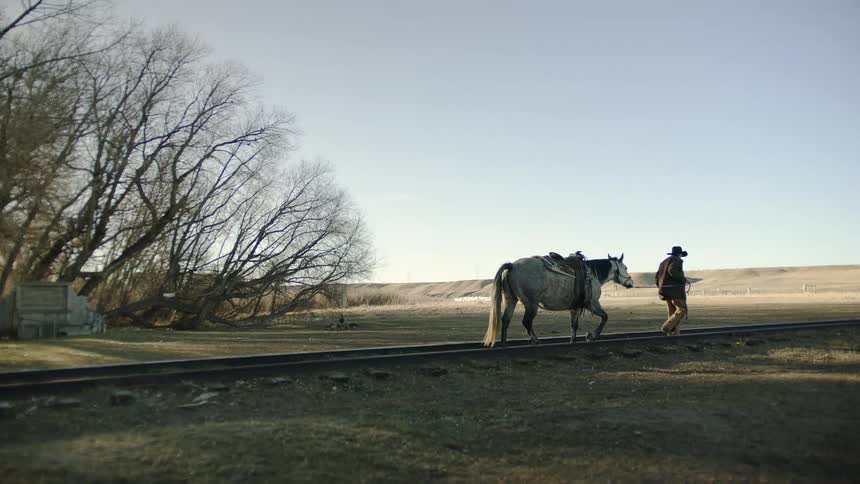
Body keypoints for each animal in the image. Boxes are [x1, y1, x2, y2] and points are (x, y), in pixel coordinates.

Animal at [483, 253, 634, 347]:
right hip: (531, 304)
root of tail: (512, 266)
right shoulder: (592, 303)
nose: (630, 283)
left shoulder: (575, 307)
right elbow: (604, 317)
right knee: (526, 321)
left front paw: (573, 341)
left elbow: (574, 326)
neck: (592, 274)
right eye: (626, 267)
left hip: (511, 300)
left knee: (506, 320)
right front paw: (592, 335)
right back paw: (535, 341)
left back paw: (504, 343)